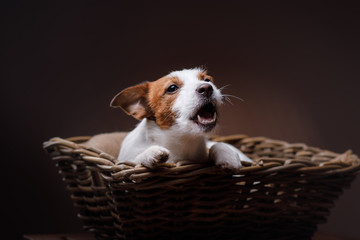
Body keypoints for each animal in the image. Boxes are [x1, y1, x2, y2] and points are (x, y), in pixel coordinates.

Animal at [111, 67, 252, 169]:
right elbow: (135, 160)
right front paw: (150, 153)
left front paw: (228, 155)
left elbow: (216, 145)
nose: (207, 87)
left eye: (207, 80)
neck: (181, 141)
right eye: (172, 88)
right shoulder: (126, 160)